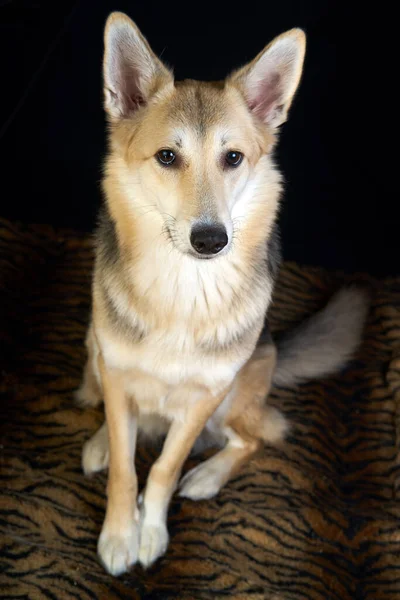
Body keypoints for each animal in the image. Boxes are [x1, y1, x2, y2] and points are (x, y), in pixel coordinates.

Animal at [76, 11, 368, 576]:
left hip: (235, 396)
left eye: (232, 157)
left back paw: (209, 474)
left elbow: (163, 468)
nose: (211, 239)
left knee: (256, 436)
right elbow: (126, 464)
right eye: (168, 157)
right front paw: (121, 531)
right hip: (93, 347)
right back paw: (101, 442)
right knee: (106, 405)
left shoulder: (203, 398)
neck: (184, 290)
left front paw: (150, 530)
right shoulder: (118, 373)